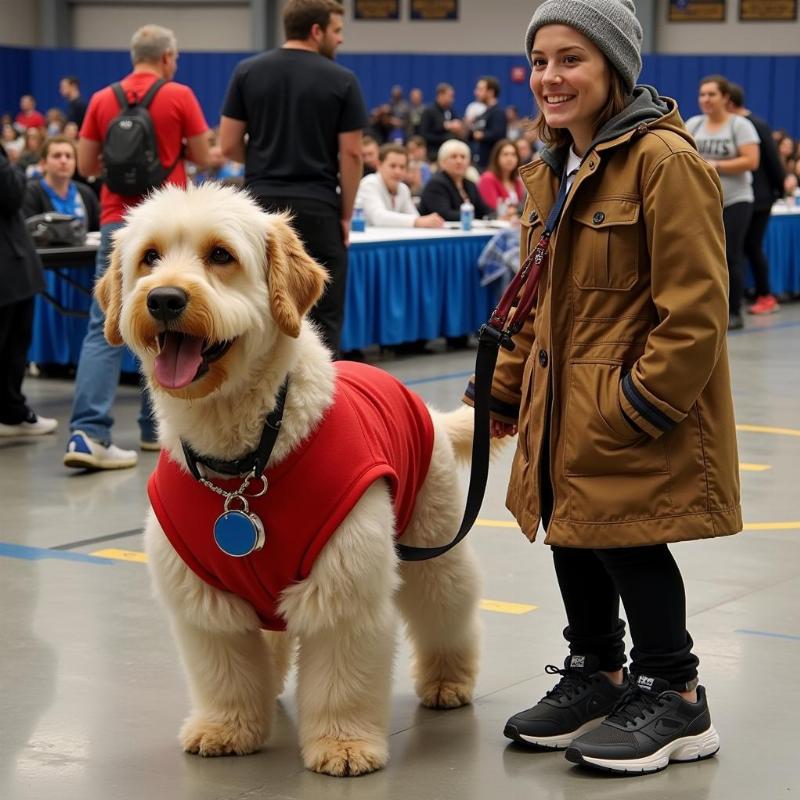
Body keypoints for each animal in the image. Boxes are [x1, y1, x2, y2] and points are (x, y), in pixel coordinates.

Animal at [94, 186, 482, 776]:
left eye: (221, 255)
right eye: (150, 257)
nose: (163, 300)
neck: (242, 466)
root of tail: (427, 409)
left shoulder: (343, 586)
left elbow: (342, 679)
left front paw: (343, 743)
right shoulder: (206, 599)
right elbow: (226, 672)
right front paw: (228, 727)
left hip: (433, 548)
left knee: (448, 612)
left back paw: (448, 680)